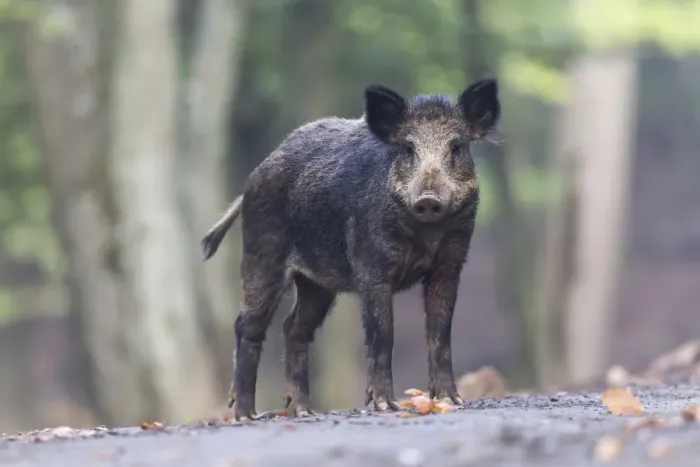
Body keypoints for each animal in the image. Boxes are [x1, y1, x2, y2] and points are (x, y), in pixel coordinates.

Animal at [201, 77, 501, 420]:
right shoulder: (372, 267)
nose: (428, 199)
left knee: (294, 327)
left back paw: (305, 411)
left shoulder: (449, 265)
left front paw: (453, 401)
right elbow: (383, 333)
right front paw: (385, 406)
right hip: (262, 256)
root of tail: (251, 182)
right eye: (408, 148)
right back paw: (247, 415)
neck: (424, 234)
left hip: (316, 284)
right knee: (247, 325)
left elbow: (441, 333)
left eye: (456, 146)